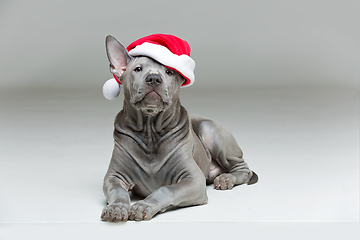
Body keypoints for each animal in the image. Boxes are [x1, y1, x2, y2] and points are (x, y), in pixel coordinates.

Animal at [101, 34, 258, 222]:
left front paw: (144, 205)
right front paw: (116, 208)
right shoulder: (113, 177)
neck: (150, 131)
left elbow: (166, 189)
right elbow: (118, 191)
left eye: (169, 72)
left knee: (243, 169)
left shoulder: (193, 180)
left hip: (210, 130)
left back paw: (227, 178)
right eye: (137, 69)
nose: (154, 79)